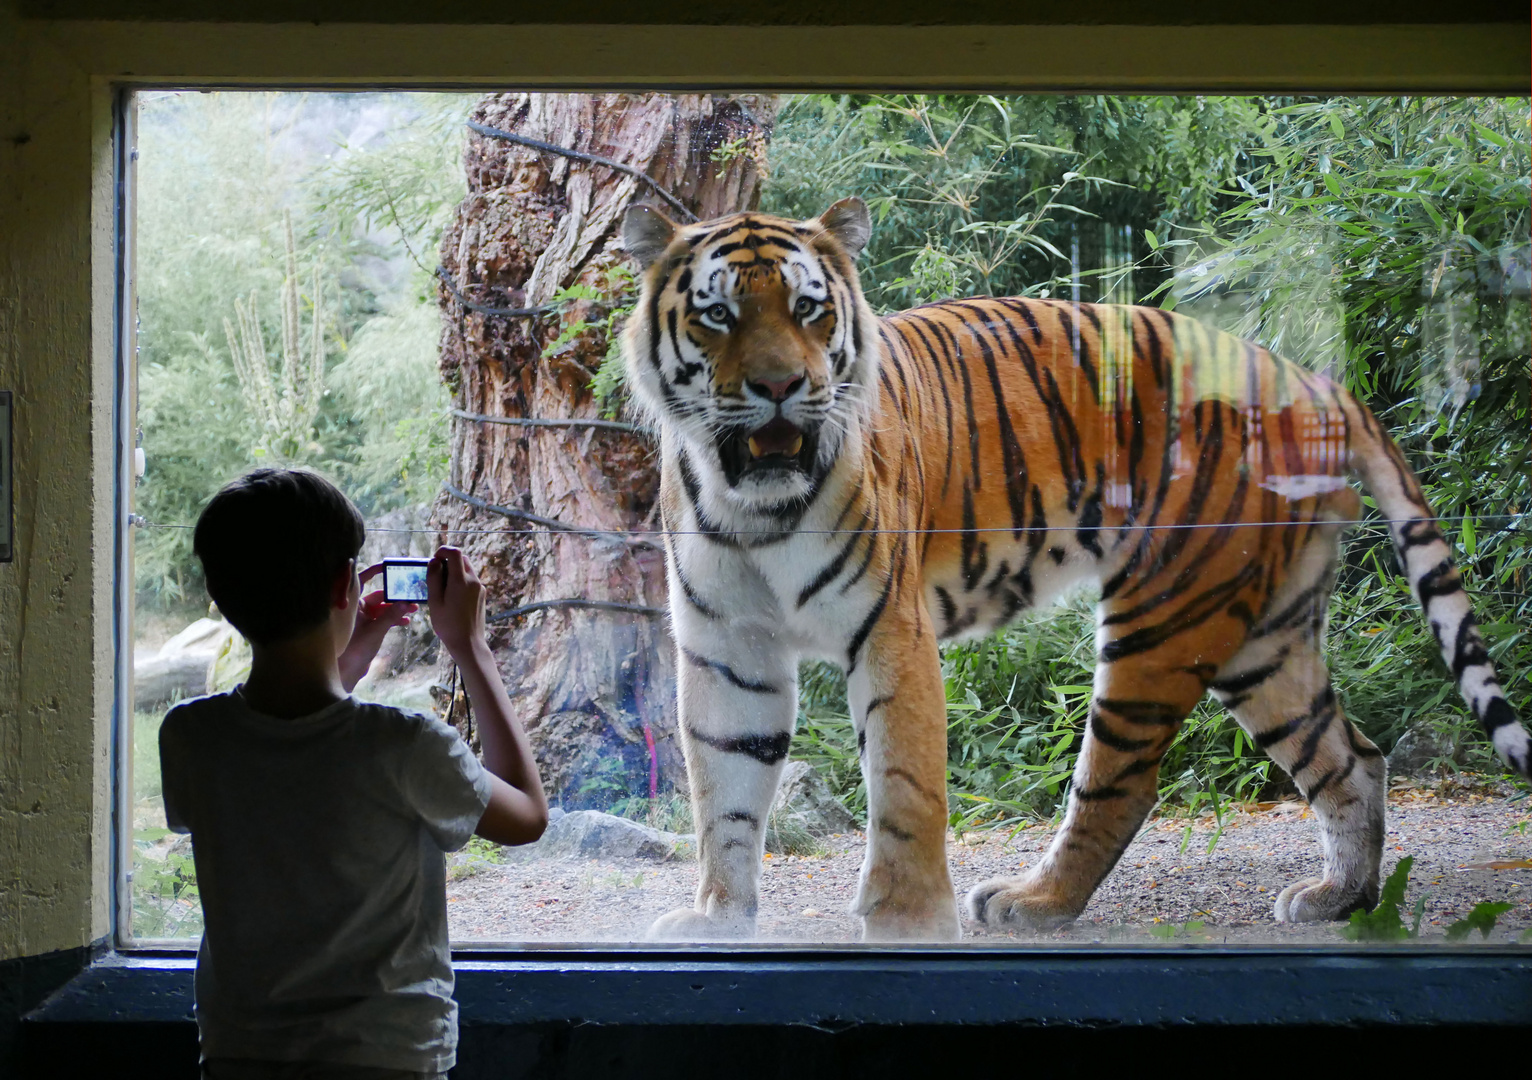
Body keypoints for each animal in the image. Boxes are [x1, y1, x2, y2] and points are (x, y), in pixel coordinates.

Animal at [615, 197, 1525, 937]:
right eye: (719, 314)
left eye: (808, 308)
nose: (780, 386)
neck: (755, 513)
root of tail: (1303, 374)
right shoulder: (728, 647)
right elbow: (723, 788)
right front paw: (717, 917)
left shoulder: (890, 633)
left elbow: (904, 789)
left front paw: (907, 919)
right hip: (1264, 636)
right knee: (1351, 756)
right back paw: (1341, 898)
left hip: (1165, 615)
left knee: (1122, 782)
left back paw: (1035, 900)